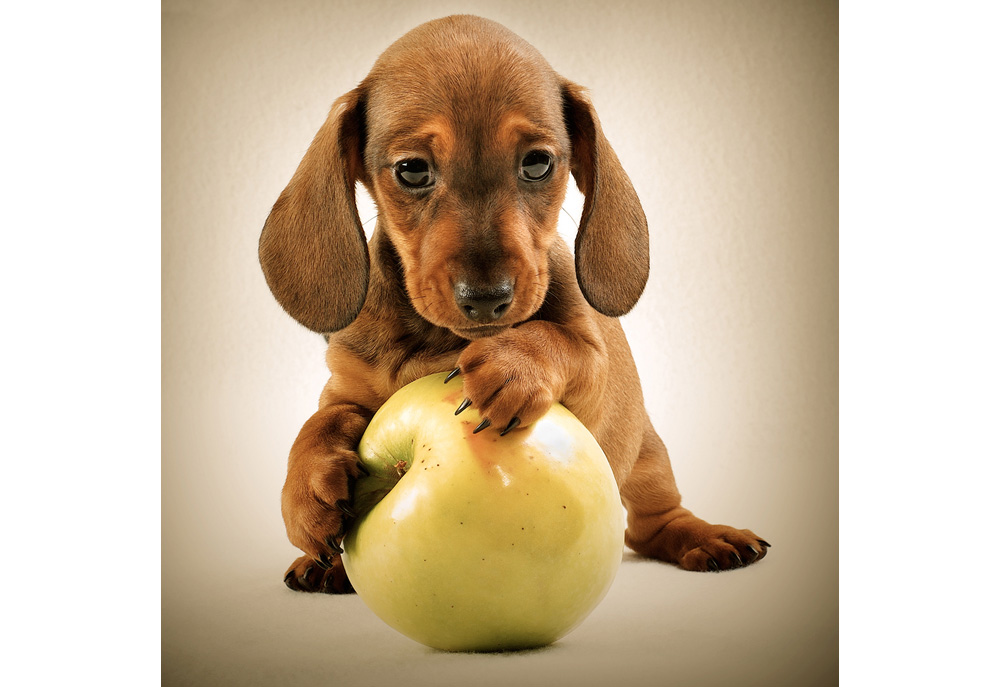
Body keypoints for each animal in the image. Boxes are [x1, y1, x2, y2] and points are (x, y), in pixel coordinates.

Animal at [258, 17, 764, 596]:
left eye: (538, 163)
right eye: (412, 170)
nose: (487, 299)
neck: (436, 340)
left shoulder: (591, 376)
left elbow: (560, 340)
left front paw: (512, 364)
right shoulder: (344, 387)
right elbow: (320, 422)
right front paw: (304, 490)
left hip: (647, 457)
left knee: (653, 523)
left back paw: (706, 536)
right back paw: (328, 566)